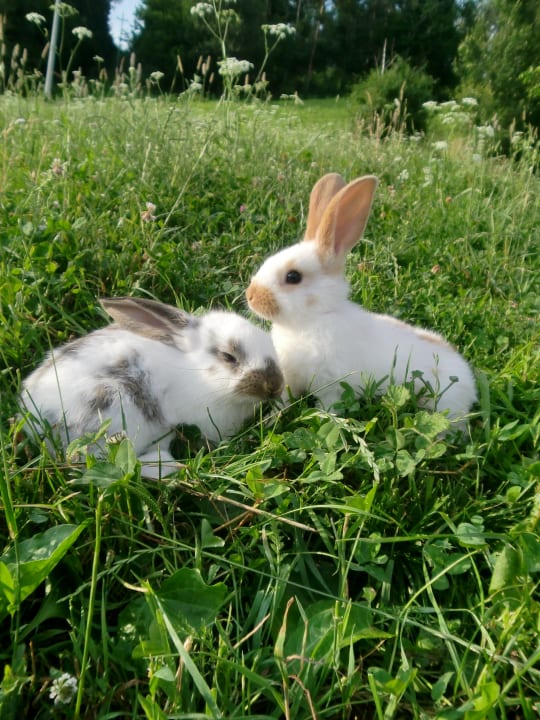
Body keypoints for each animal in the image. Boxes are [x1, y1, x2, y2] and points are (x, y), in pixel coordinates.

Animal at [246, 172, 477, 424]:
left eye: (293, 276)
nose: (251, 296)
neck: (313, 319)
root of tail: (469, 379)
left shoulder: (332, 386)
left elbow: (328, 407)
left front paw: (325, 420)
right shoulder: (290, 378)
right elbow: (283, 400)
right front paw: (269, 419)